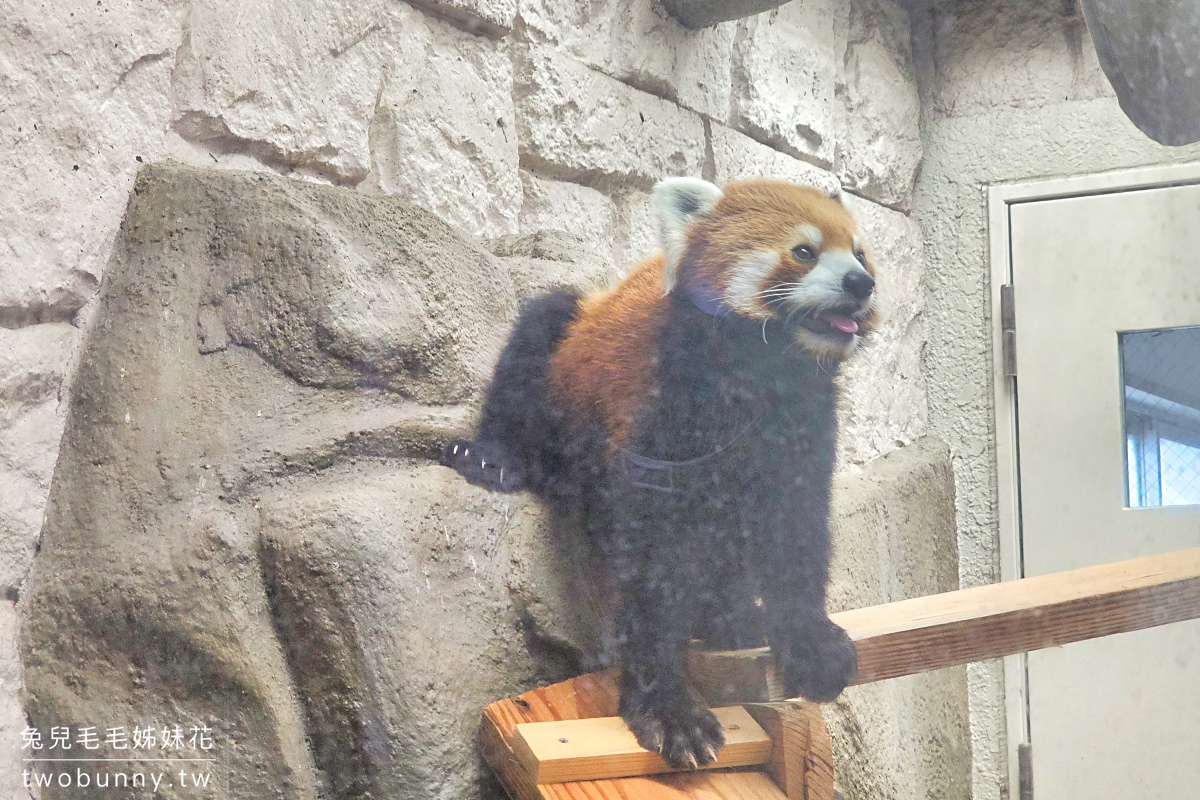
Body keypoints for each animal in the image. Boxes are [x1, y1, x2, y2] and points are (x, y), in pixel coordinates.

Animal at [446, 176, 878, 767]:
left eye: (859, 252)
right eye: (804, 251)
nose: (862, 282)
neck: (756, 380)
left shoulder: (804, 431)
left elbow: (795, 535)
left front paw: (810, 640)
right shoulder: (660, 406)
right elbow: (652, 562)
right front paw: (668, 708)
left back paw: (732, 619)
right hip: (562, 352)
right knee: (535, 336)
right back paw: (495, 456)